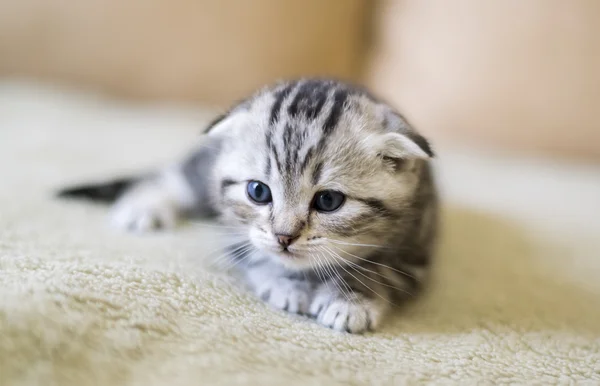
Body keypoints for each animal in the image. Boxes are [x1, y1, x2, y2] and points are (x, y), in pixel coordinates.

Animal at [59, 77, 436, 332]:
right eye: (258, 192)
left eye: (328, 200)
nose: (284, 237)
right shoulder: (233, 232)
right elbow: (257, 257)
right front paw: (287, 284)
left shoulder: (416, 252)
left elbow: (376, 269)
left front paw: (351, 299)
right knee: (174, 175)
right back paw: (144, 207)